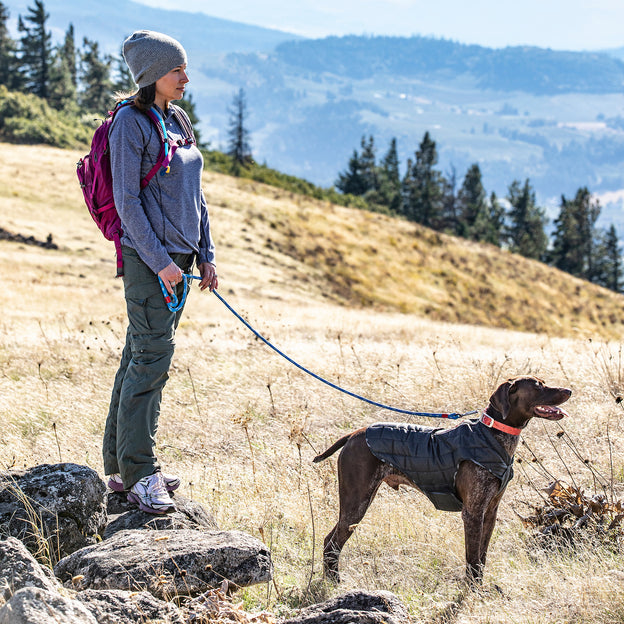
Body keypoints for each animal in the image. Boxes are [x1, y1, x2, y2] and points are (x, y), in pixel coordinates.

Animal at [314, 376, 572, 584]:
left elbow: (482, 557)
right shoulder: (473, 513)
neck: (492, 436)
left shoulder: (490, 512)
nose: (569, 390)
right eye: (538, 386)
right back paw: (334, 582)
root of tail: (354, 434)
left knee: (330, 540)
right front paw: (473, 591)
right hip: (357, 502)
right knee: (332, 542)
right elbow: (472, 559)